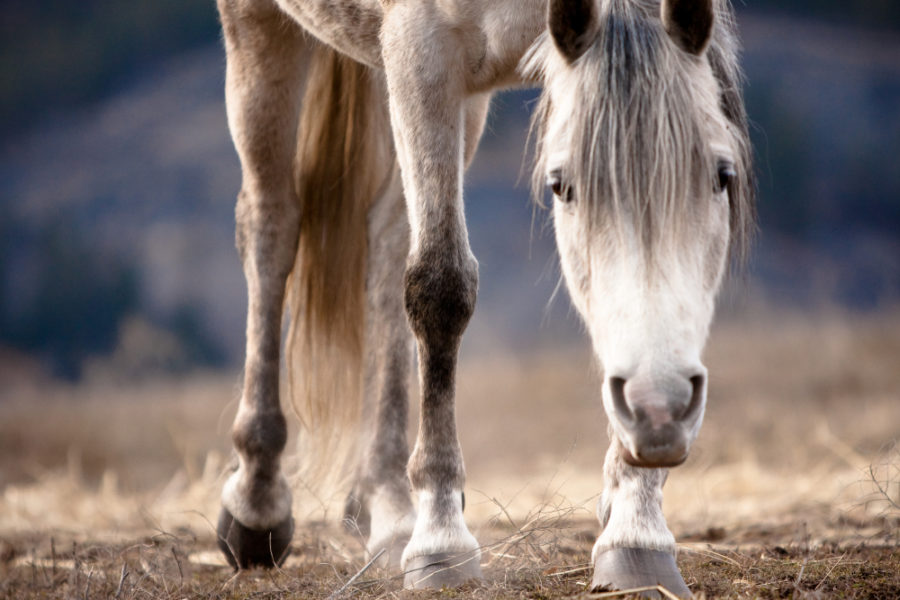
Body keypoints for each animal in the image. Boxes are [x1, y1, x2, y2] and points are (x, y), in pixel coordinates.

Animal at [214, 0, 756, 592]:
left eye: (722, 175)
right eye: (561, 185)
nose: (660, 410)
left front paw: (635, 533)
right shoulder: (422, 53)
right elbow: (439, 286)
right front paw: (440, 542)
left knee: (386, 240)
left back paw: (388, 511)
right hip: (261, 31)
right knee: (270, 225)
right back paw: (257, 503)